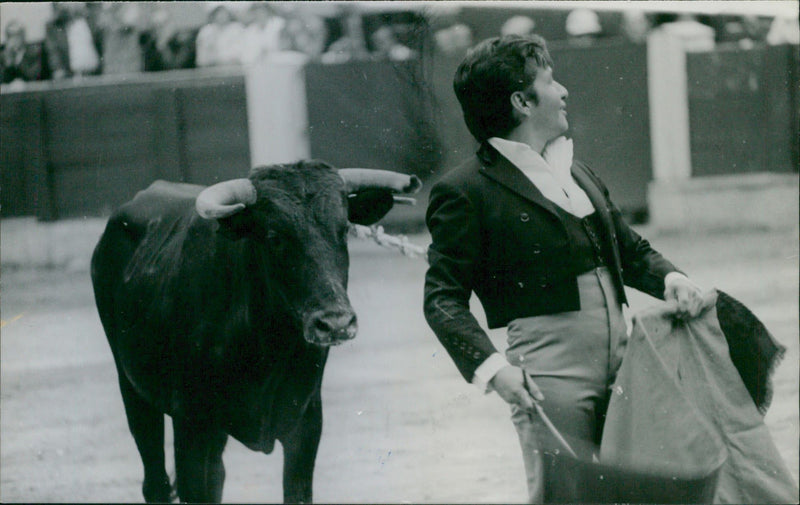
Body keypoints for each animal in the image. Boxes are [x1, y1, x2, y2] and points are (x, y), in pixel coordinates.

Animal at [90, 160, 422, 500]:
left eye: (343, 230)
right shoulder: (191, 426)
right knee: (155, 482)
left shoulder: (305, 426)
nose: (336, 323)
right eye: (275, 237)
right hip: (134, 392)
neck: (266, 349)